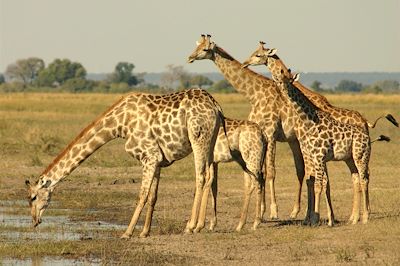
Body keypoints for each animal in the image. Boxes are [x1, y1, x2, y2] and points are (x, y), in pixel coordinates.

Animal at [25, 88, 225, 238]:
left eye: (33, 197)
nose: (34, 221)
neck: (119, 124)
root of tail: (216, 106)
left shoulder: (149, 156)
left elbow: (142, 195)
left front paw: (128, 232)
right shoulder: (157, 160)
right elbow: (152, 196)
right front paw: (144, 232)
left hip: (198, 137)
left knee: (201, 176)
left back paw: (190, 226)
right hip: (211, 140)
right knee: (211, 177)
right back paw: (203, 225)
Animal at [189, 33, 304, 220]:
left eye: (205, 49)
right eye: (195, 47)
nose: (190, 57)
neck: (255, 95)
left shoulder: (271, 133)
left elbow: (270, 171)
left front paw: (272, 211)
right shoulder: (261, 134)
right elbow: (259, 172)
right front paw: (261, 210)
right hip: (294, 140)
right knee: (302, 169)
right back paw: (297, 211)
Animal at [241, 41, 396, 220]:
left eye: (258, 55)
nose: (245, 63)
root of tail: (365, 121)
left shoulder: (307, 147)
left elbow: (313, 179)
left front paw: (311, 216)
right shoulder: (305, 147)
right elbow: (314, 179)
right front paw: (318, 216)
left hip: (358, 154)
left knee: (364, 176)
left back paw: (363, 214)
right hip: (348, 157)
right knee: (357, 178)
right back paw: (354, 216)